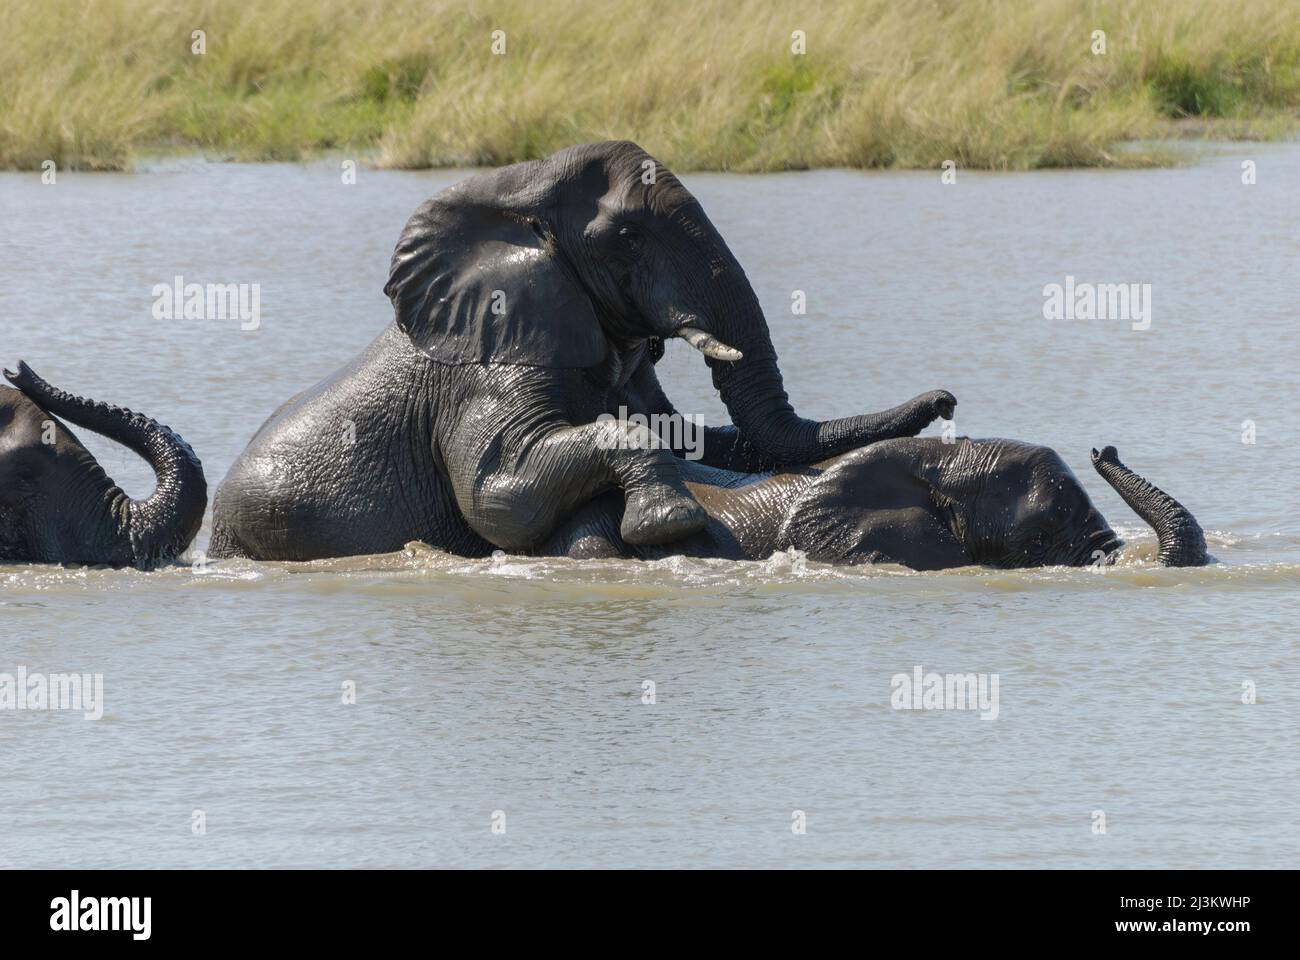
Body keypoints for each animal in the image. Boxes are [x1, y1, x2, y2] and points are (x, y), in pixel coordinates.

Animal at [208, 140, 951, 561]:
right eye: (627, 237)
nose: (945, 399)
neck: (515, 186)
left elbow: (690, 437)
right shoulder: (481, 375)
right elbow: (500, 499)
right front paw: (669, 521)